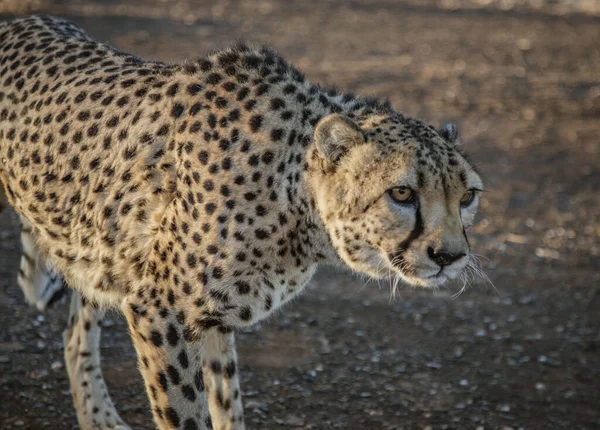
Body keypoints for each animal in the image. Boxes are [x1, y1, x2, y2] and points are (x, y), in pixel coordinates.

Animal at [0, 15, 486, 428]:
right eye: (401, 193)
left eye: (467, 197)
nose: (449, 256)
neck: (291, 194)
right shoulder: (158, 309)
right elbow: (186, 413)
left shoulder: (209, 316)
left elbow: (226, 400)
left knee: (76, 333)